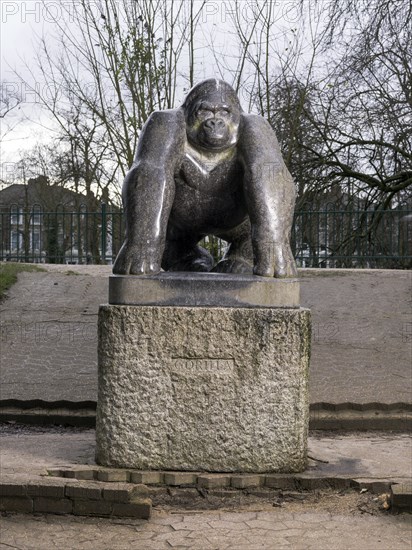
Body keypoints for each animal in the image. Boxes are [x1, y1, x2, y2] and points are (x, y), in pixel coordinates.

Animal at [113, 80, 296, 278]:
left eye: (224, 112)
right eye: (204, 111)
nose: (215, 122)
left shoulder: (258, 127)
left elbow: (267, 172)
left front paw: (274, 247)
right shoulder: (163, 122)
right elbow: (152, 171)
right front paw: (140, 248)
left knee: (247, 230)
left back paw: (238, 262)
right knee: (173, 239)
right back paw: (192, 262)